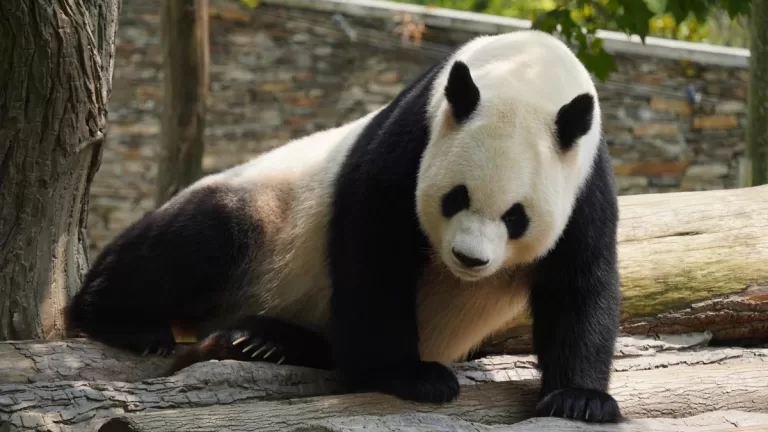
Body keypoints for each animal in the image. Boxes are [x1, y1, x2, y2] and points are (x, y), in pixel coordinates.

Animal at [65, 29, 623, 423]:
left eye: (515, 216)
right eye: (455, 198)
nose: (469, 259)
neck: (527, 72)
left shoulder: (585, 179)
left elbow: (581, 283)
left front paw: (580, 399)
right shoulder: (412, 140)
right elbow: (374, 251)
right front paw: (413, 376)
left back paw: (262, 342)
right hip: (262, 212)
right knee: (193, 242)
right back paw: (127, 322)